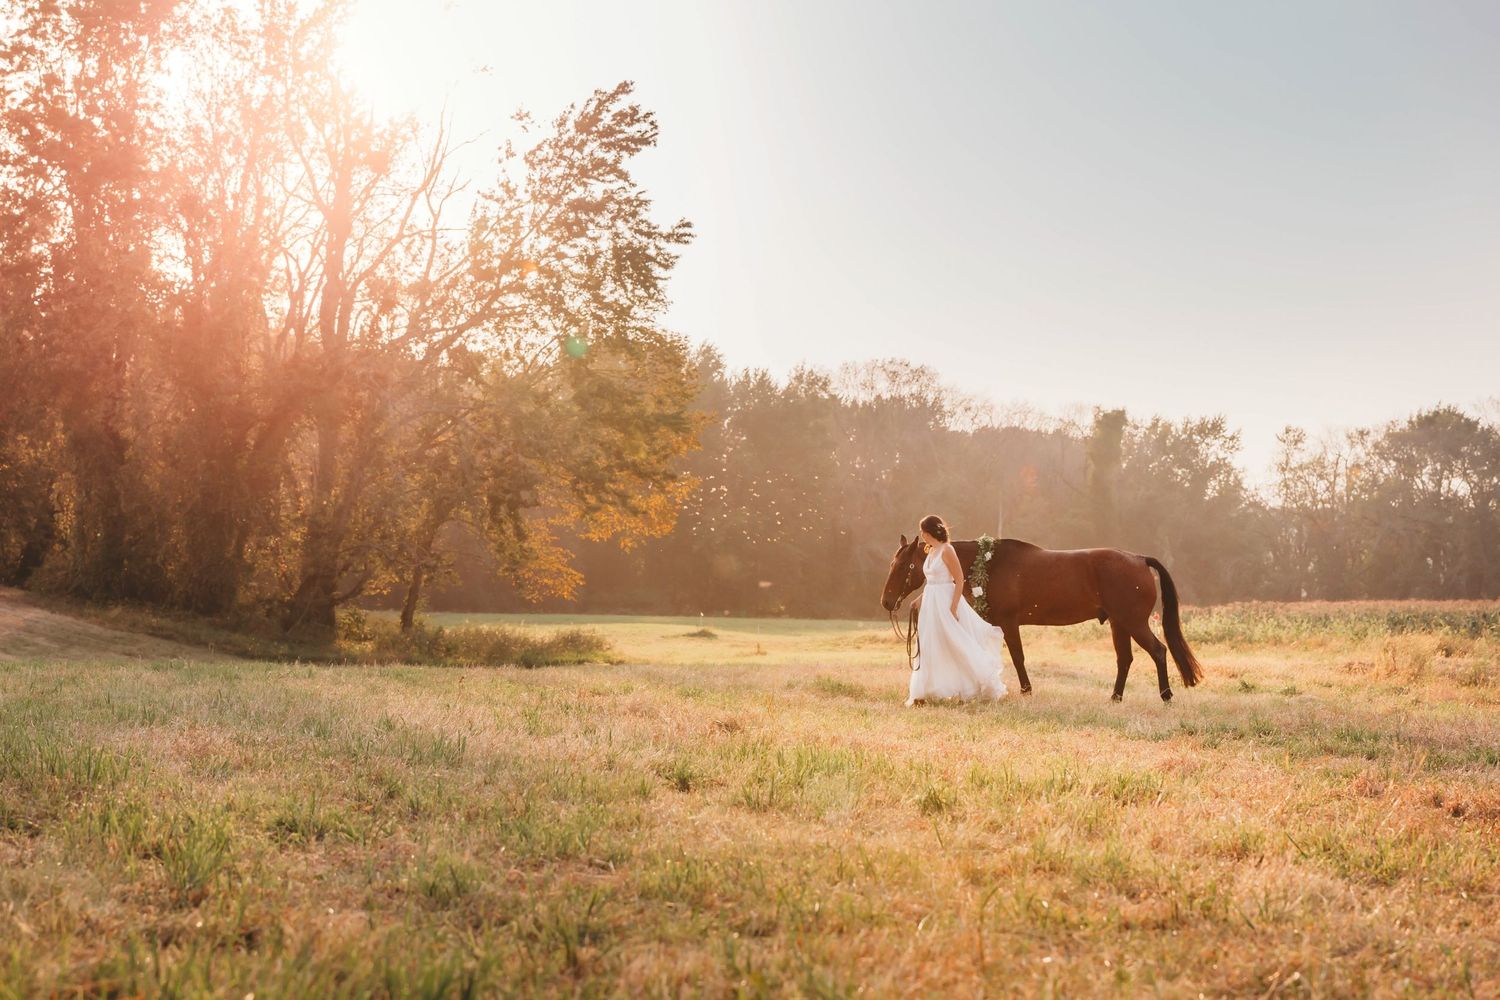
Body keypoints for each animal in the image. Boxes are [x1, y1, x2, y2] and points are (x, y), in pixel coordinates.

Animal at [880, 535, 1204, 702]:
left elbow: (1018, 658)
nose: (886, 601)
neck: (988, 564)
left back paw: (1165, 695)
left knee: (1158, 651)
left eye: (903, 566)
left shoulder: (1009, 623)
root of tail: (1138, 558)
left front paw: (1026, 691)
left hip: (1133, 623)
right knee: (1125, 659)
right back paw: (1115, 697)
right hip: (1119, 624)